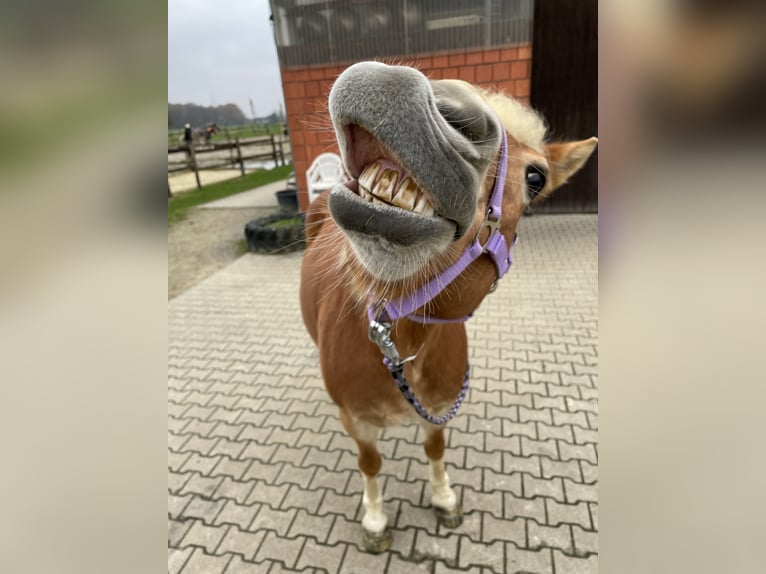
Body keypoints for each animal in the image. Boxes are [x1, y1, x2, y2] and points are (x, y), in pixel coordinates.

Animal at [300, 62, 600, 552]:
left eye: (536, 177)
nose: (392, 86)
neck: (402, 348)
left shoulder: (440, 407)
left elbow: (435, 449)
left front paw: (443, 499)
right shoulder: (358, 423)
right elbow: (370, 464)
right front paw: (375, 520)